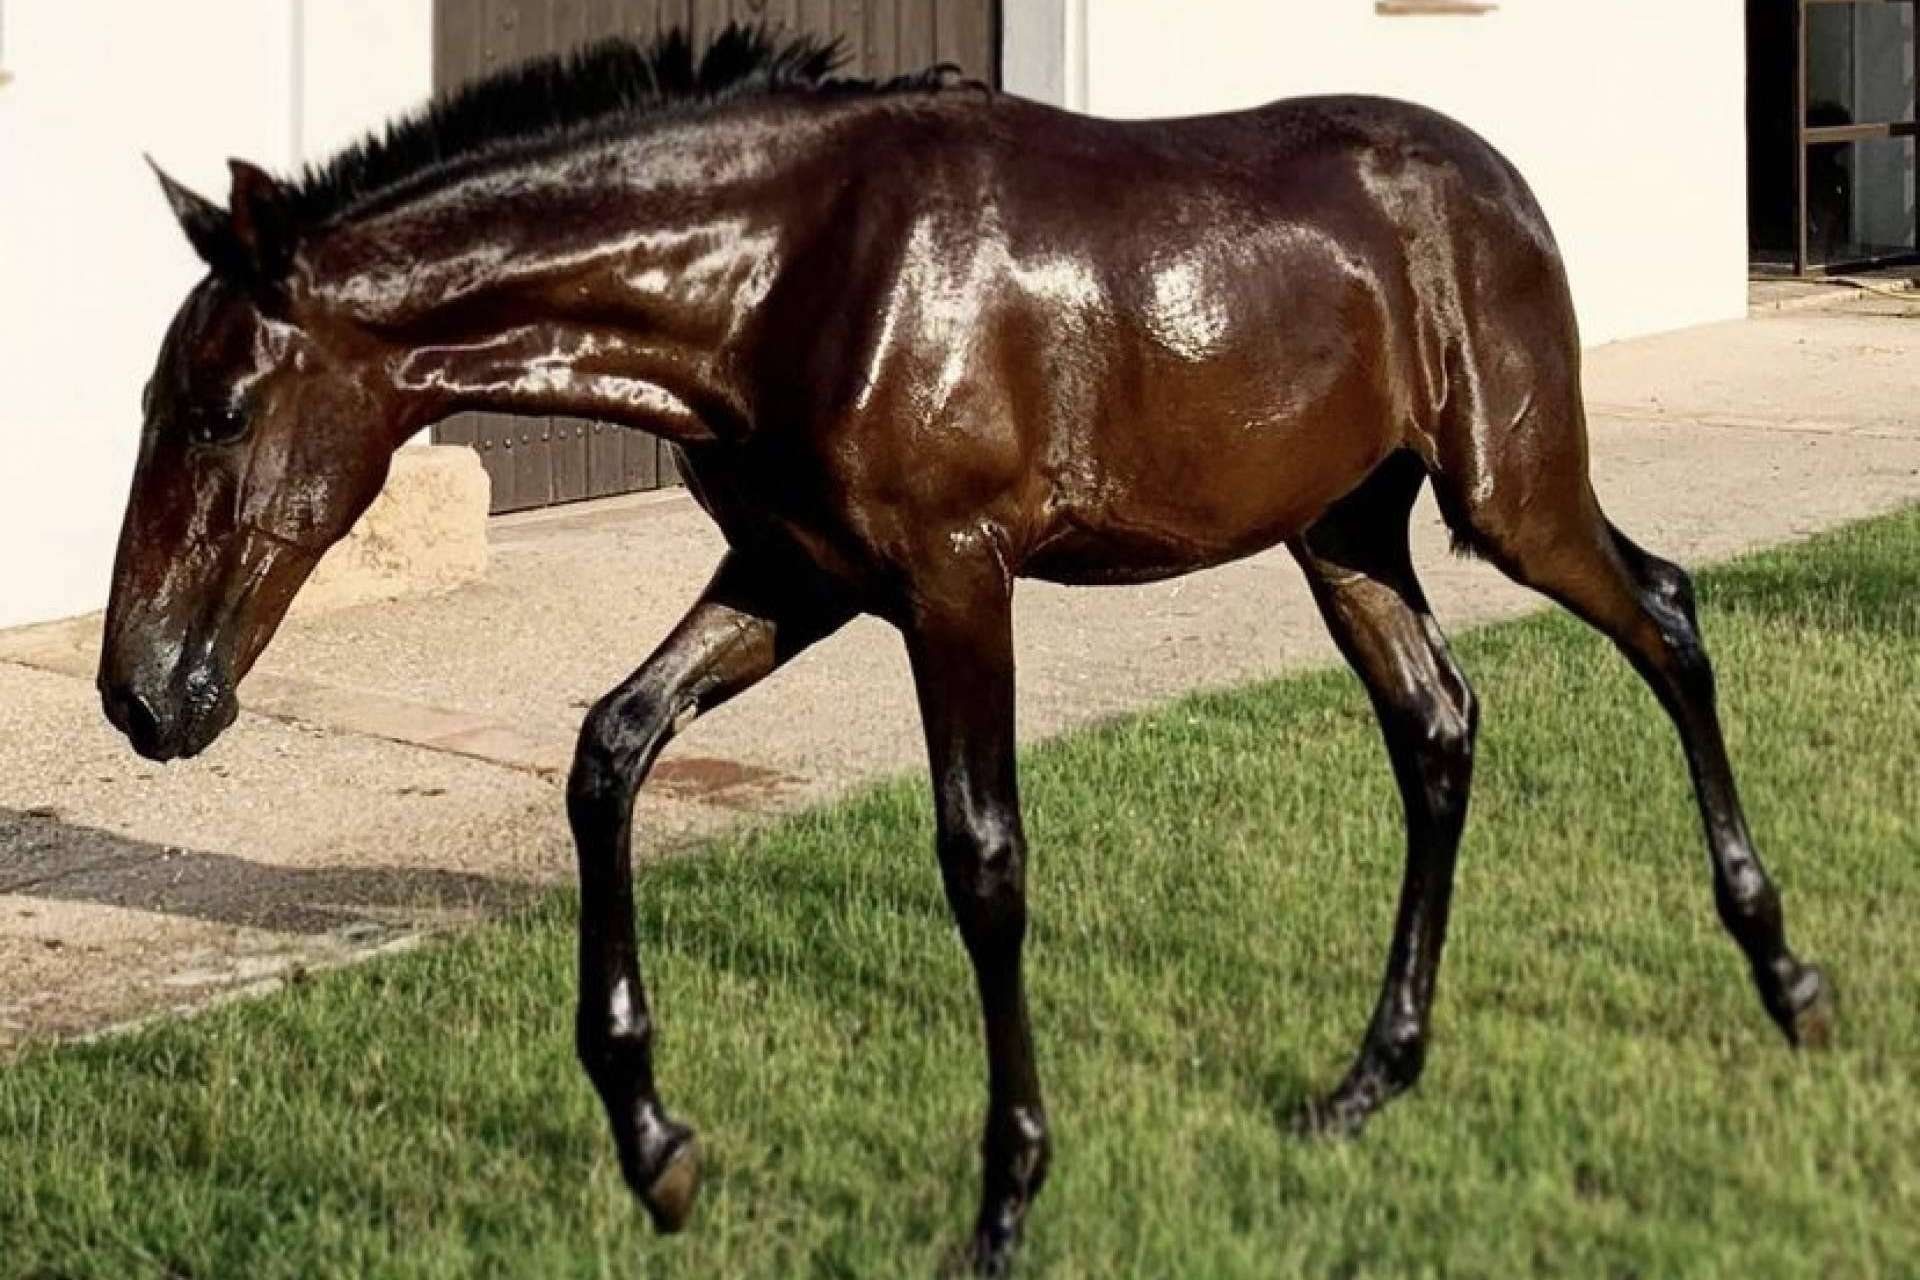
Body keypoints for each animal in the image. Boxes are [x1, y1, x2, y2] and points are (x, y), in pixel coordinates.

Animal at [100, 25, 1833, 1277]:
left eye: (220, 408)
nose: (143, 692)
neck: (790, 270)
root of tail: (1496, 185)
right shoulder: (793, 576)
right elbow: (609, 752)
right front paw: (658, 1154)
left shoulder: (953, 585)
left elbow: (982, 859)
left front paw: (1006, 1201)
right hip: (1347, 535)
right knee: (1439, 727)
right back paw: (1367, 1081)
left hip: (1510, 496)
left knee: (1667, 618)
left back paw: (1790, 983)